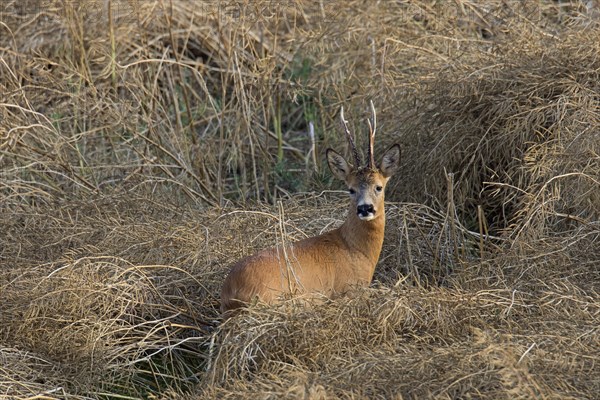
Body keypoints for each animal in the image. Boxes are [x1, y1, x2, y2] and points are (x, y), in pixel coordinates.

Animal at [219, 102, 398, 312]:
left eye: (379, 187)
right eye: (351, 189)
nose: (365, 208)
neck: (356, 250)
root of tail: (230, 292)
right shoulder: (348, 288)